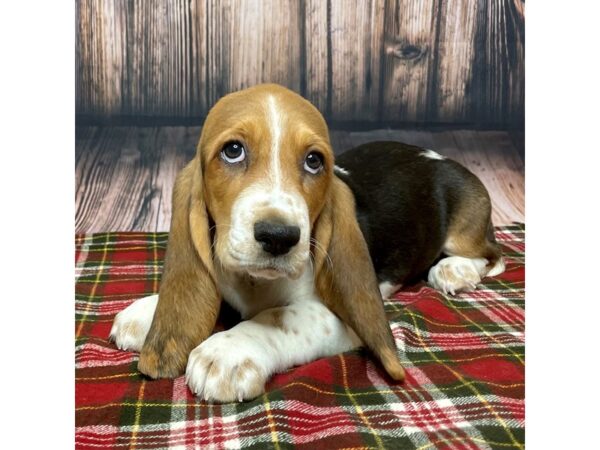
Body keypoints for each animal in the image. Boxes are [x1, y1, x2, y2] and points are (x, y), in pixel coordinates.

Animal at [110, 82, 504, 402]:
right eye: (233, 151)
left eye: (314, 160)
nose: (279, 236)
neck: (254, 283)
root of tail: (441, 156)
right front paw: (148, 312)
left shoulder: (337, 319)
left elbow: (280, 317)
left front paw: (227, 352)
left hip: (464, 232)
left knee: (492, 255)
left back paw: (454, 271)